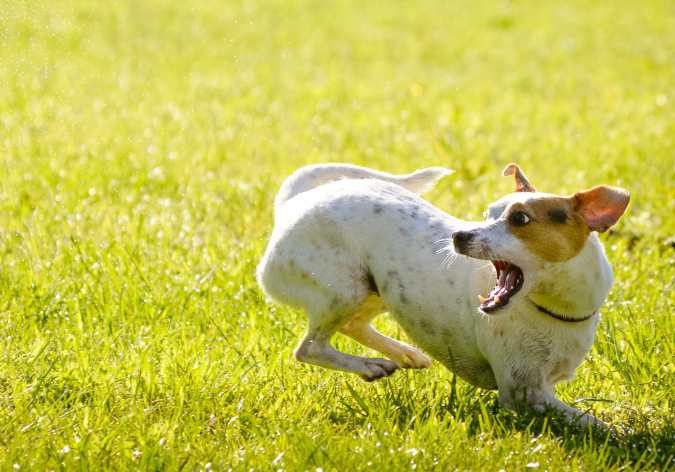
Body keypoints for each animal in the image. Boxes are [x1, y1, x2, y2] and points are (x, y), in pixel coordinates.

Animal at [257, 163, 629, 427]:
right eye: (487, 214)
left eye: (520, 219)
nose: (459, 235)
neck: (554, 308)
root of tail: (293, 202)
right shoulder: (524, 393)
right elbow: (595, 423)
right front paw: (622, 434)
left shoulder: (542, 388)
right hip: (345, 288)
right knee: (310, 348)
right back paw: (371, 364)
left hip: (378, 288)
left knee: (353, 325)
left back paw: (403, 353)